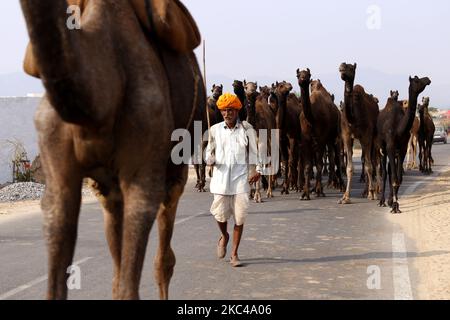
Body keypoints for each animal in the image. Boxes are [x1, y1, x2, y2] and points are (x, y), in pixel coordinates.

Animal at [20, 0, 205, 300]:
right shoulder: (58, 178)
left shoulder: (143, 177)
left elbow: (132, 286)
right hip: (107, 186)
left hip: (176, 164)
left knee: (163, 255)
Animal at [338, 62, 380, 205]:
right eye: (341, 66)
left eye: (351, 68)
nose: (342, 68)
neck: (353, 118)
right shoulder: (346, 136)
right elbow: (349, 168)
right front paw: (345, 197)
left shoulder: (366, 136)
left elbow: (369, 165)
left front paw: (372, 194)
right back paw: (366, 191)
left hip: (374, 138)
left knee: (374, 161)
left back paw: (374, 191)